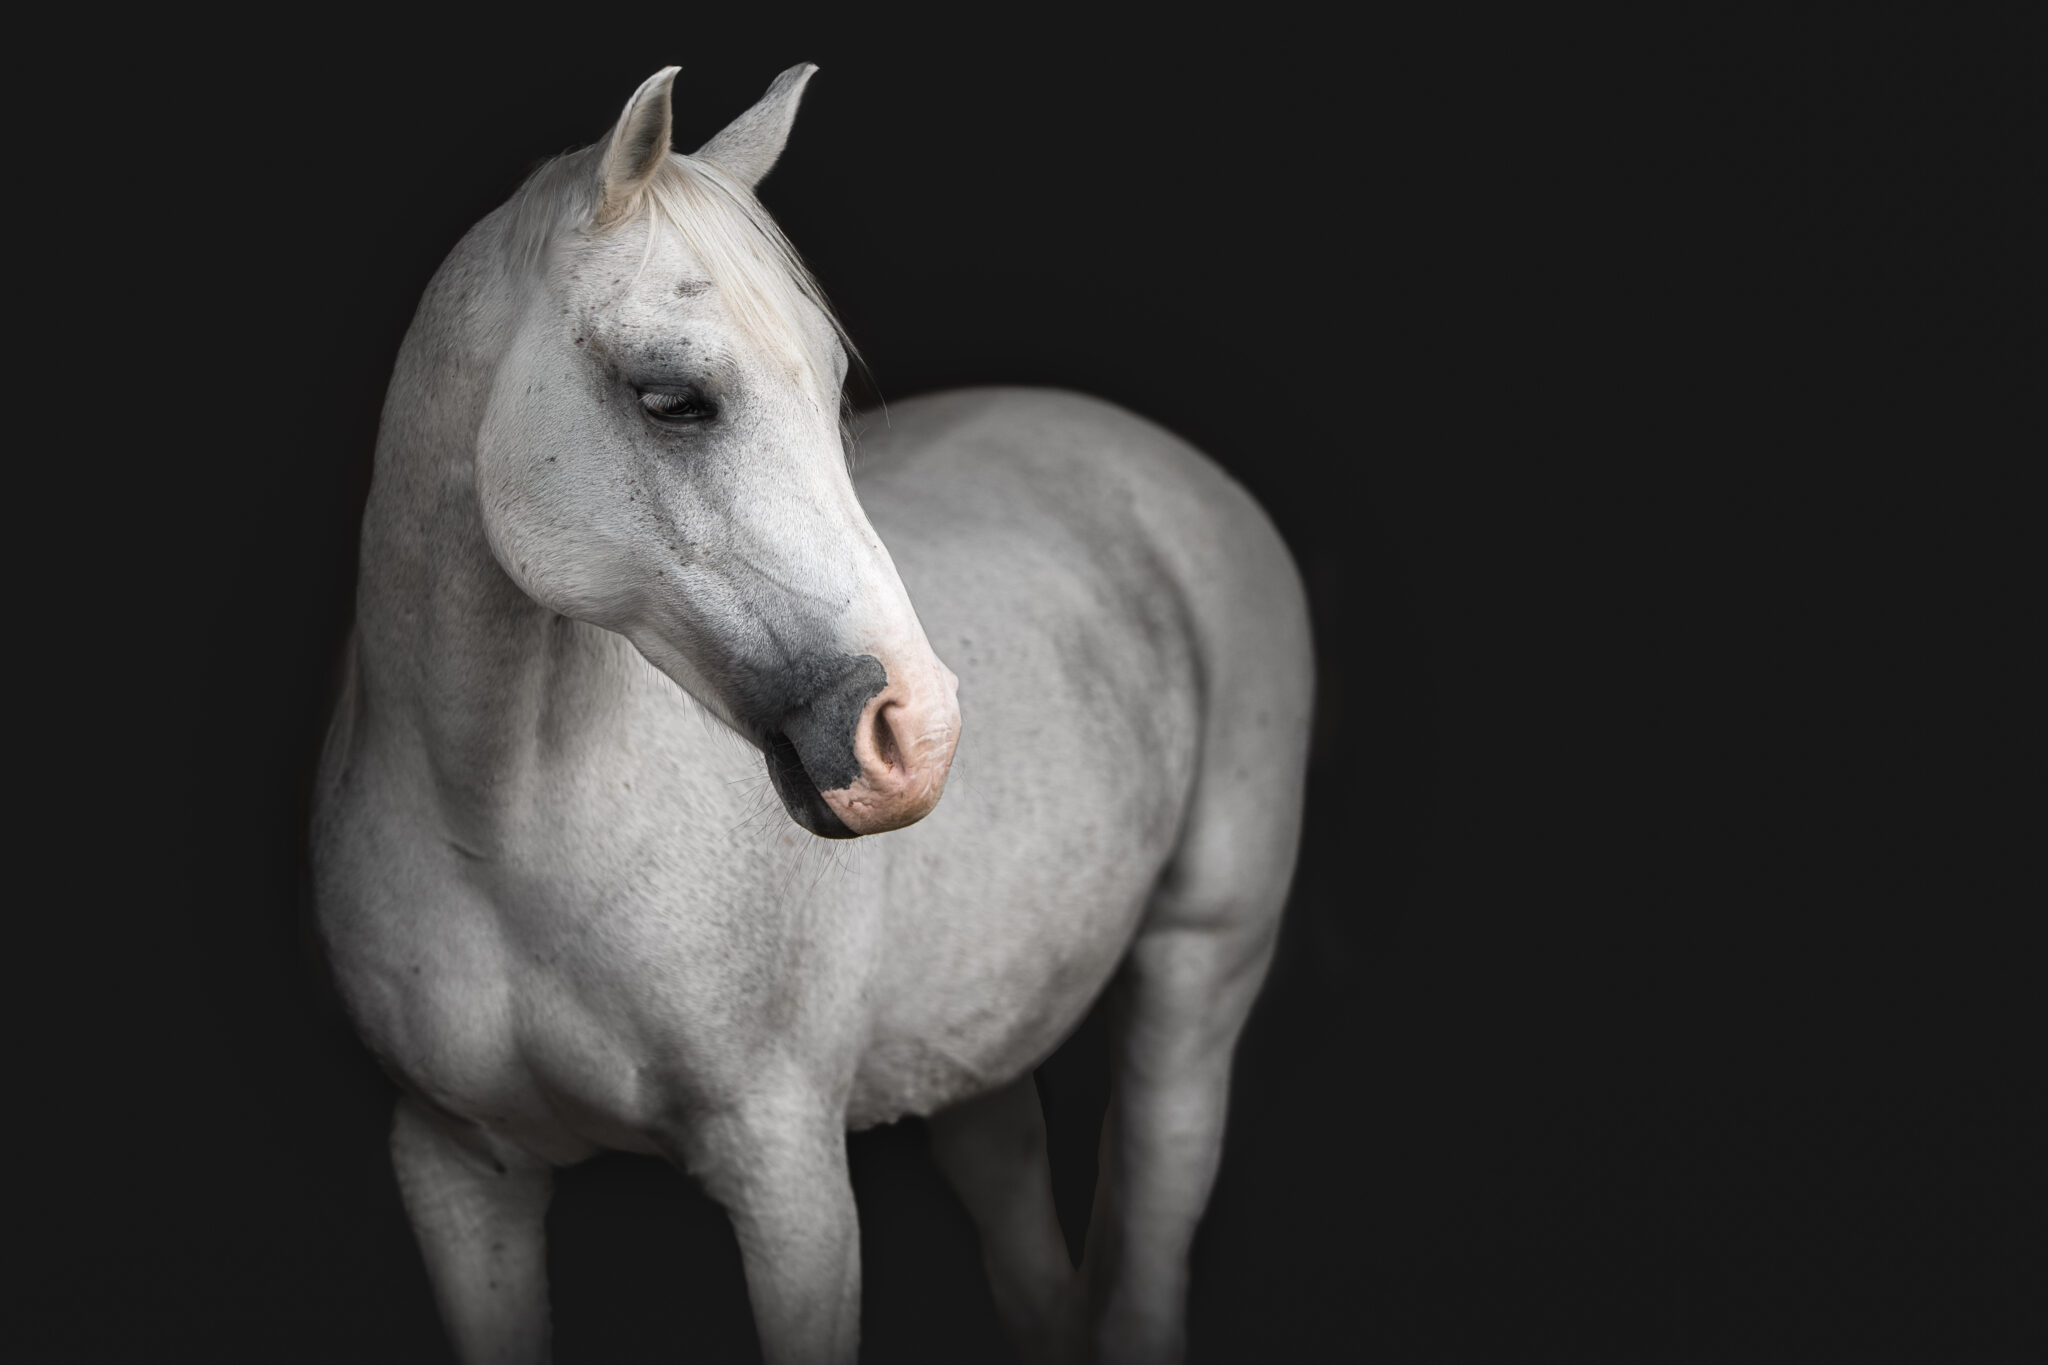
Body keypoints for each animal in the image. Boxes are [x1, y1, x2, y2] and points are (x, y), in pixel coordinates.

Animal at [311, 64, 1312, 1365]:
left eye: (830, 388)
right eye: (672, 400)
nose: (913, 737)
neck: (500, 837)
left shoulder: (785, 1176)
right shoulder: (454, 1170)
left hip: (1197, 980)